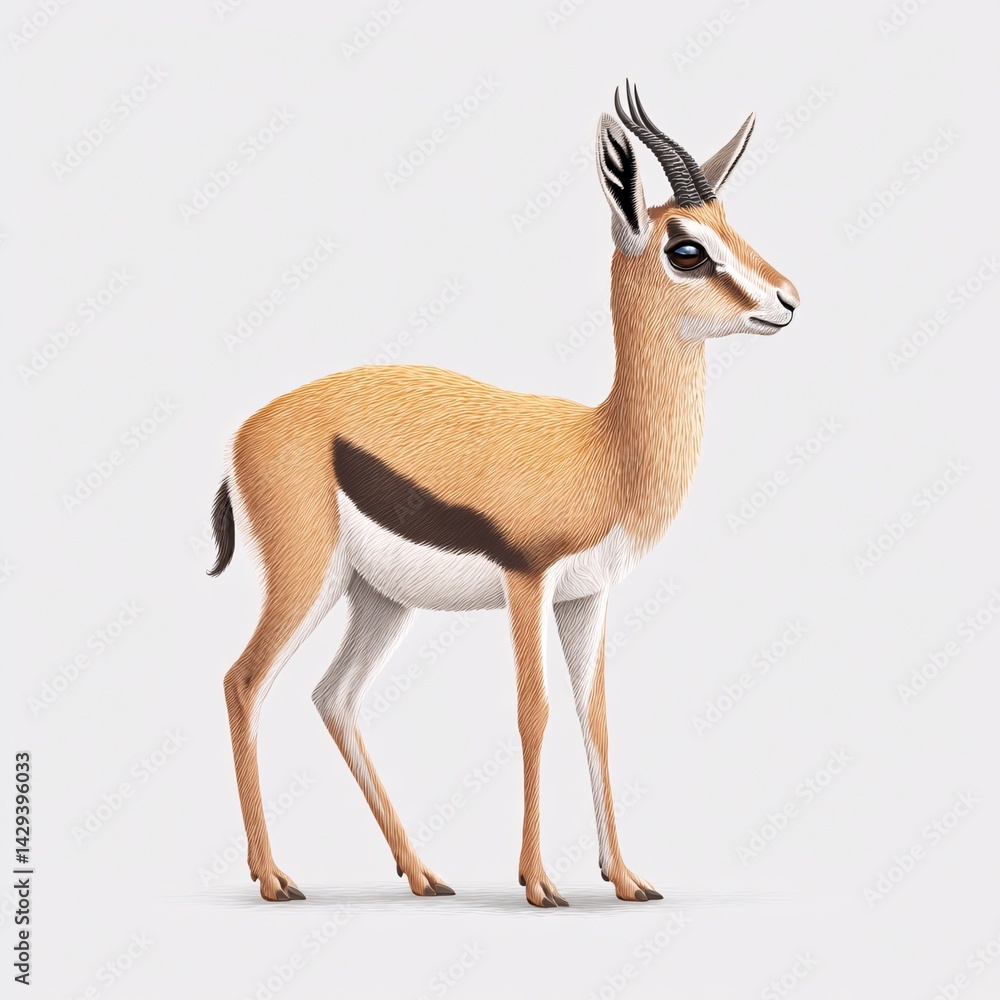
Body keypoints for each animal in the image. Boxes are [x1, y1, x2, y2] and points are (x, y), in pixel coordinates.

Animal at [210, 82, 799, 908]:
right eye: (686, 248)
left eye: (730, 226)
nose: (787, 299)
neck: (604, 450)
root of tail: (245, 430)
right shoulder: (529, 580)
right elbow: (534, 712)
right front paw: (540, 883)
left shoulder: (588, 595)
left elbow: (596, 717)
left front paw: (626, 879)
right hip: (307, 579)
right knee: (244, 683)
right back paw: (273, 878)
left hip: (378, 599)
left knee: (334, 697)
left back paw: (424, 874)